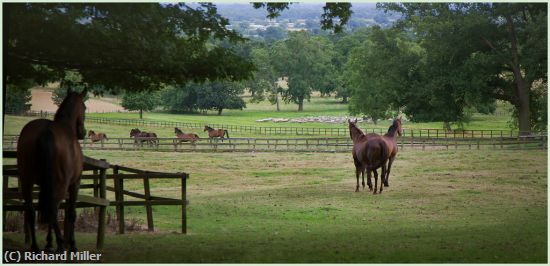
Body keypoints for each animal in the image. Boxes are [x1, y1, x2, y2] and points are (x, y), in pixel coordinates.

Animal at [16, 88, 88, 252]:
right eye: (85, 108)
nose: (83, 132)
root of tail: (46, 131)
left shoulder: (45, 184)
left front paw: (49, 242)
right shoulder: (75, 184)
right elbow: (71, 213)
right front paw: (72, 244)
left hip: (26, 181)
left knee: (31, 211)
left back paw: (36, 246)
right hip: (61, 184)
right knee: (53, 210)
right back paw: (61, 244)